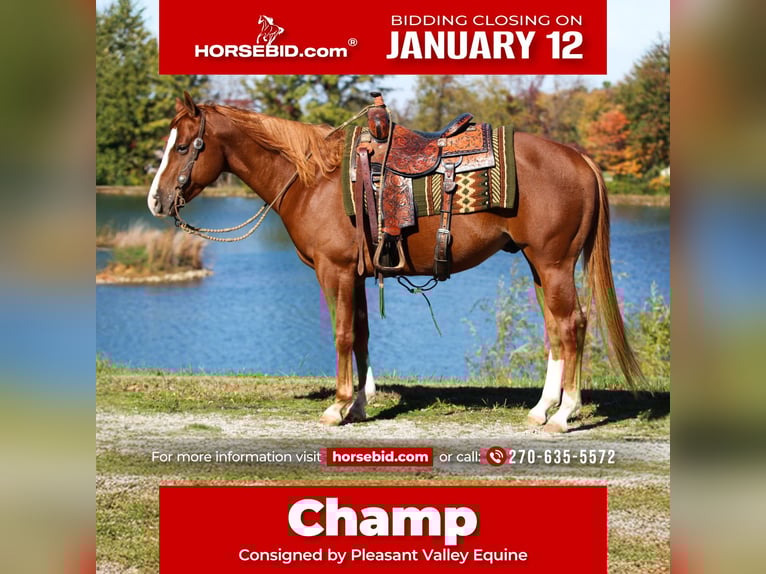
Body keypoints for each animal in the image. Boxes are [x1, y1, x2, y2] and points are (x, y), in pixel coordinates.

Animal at [147, 92, 643, 433]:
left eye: (183, 147)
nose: (155, 200)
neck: (313, 179)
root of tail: (581, 158)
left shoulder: (334, 271)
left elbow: (342, 334)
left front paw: (337, 406)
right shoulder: (357, 274)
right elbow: (362, 334)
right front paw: (360, 405)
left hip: (554, 263)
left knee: (572, 325)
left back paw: (564, 415)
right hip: (539, 267)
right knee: (556, 330)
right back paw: (541, 410)